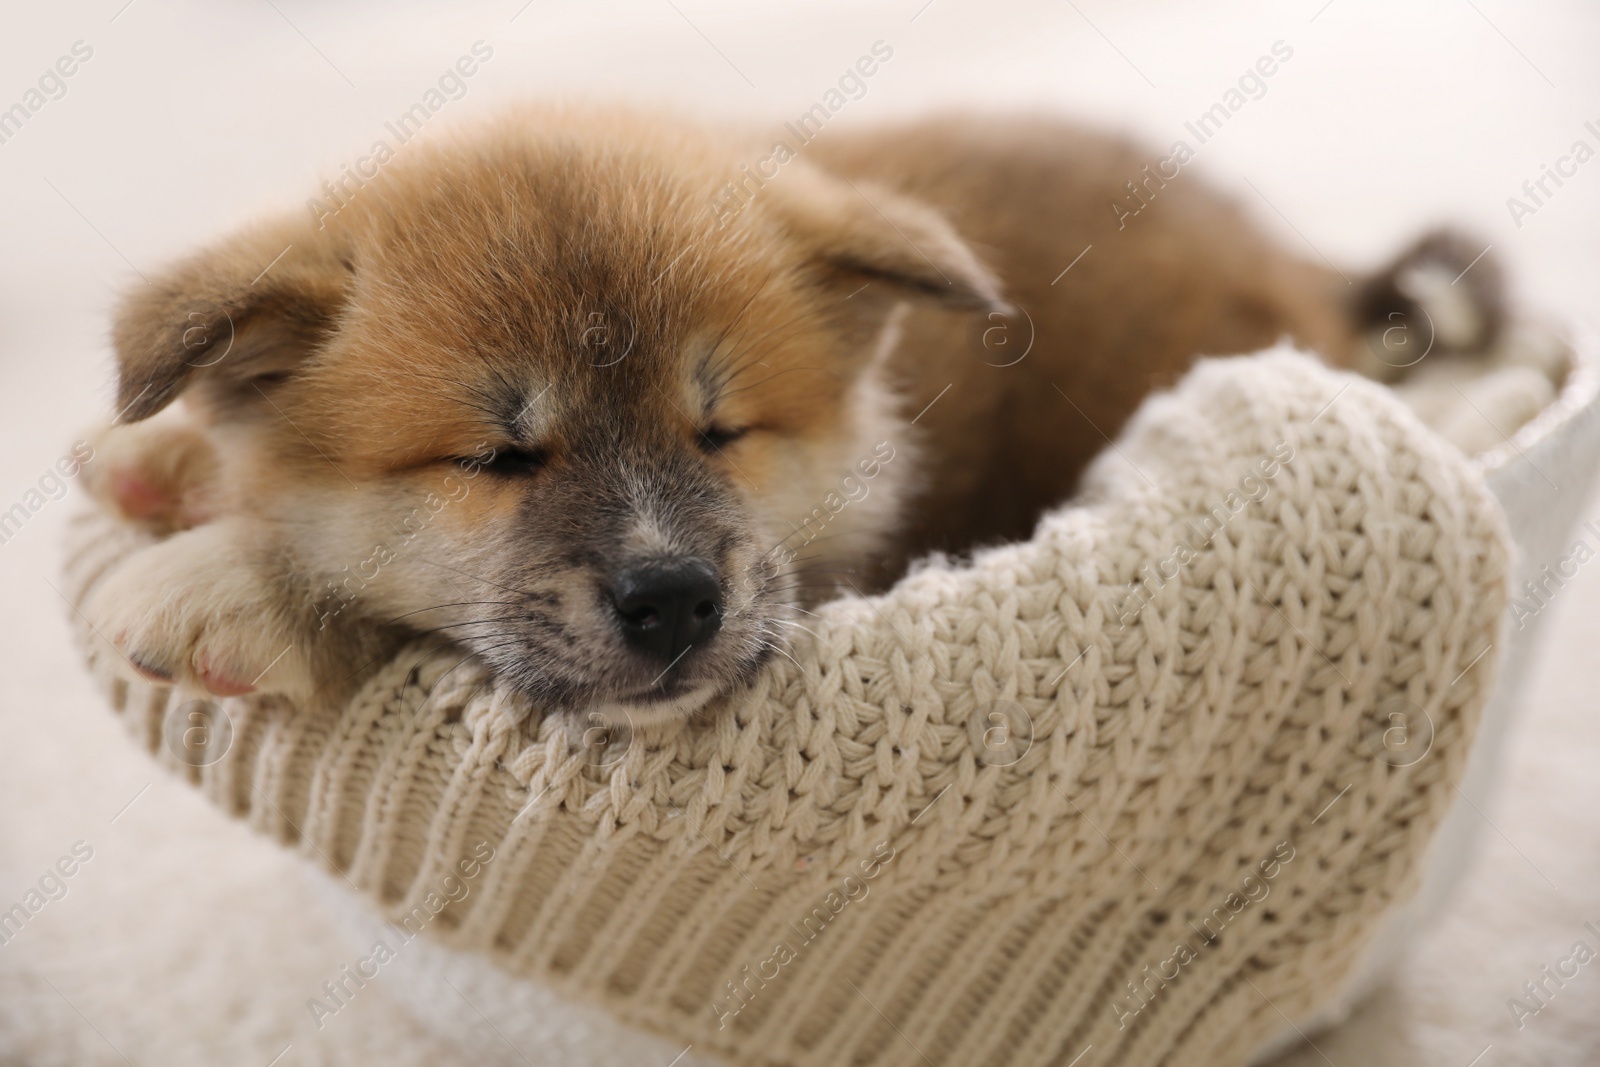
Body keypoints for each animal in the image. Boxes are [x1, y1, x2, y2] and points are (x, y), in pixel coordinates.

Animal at [78, 103, 1497, 723]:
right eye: (496, 456)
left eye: (722, 432)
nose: (672, 599)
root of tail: (1305, 266)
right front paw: (168, 457)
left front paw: (235, 582)